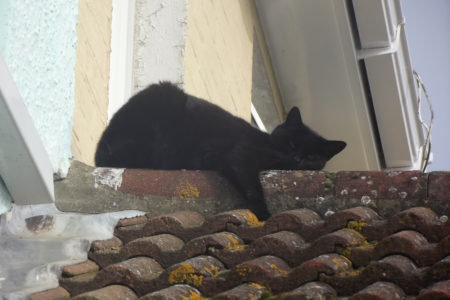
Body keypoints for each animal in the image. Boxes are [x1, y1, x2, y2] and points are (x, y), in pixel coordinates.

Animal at [96, 82, 348, 218]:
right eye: (292, 143)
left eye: (311, 157)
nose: (295, 158)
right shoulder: (239, 153)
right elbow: (253, 187)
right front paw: (264, 214)